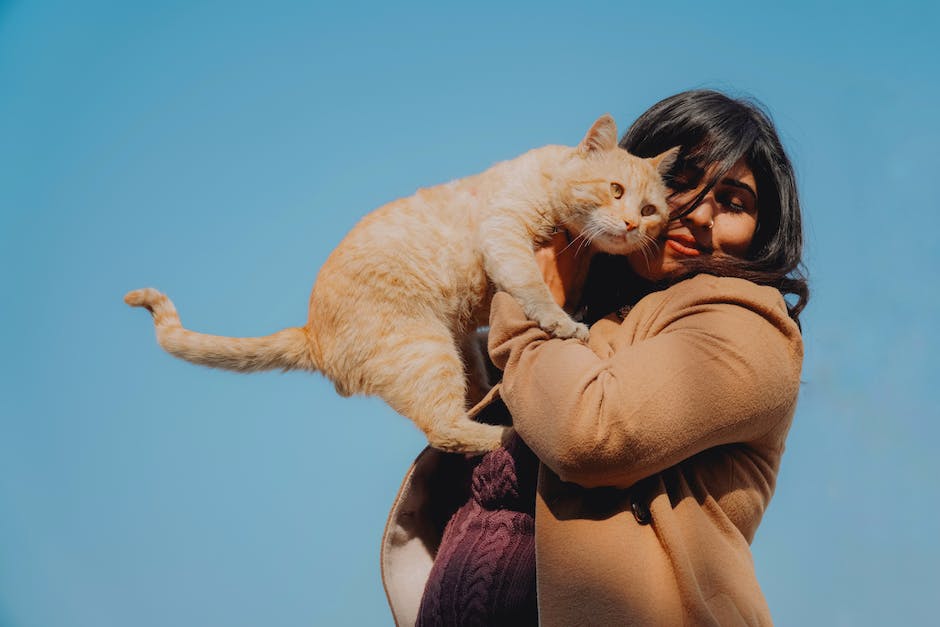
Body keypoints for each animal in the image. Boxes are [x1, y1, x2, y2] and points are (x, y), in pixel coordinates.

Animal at [129, 115, 680, 454]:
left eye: (651, 209)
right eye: (615, 190)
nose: (633, 225)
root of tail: (312, 333)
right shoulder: (504, 235)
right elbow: (532, 289)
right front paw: (563, 324)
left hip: (455, 348)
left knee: (464, 405)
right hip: (426, 349)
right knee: (444, 431)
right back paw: (504, 436)